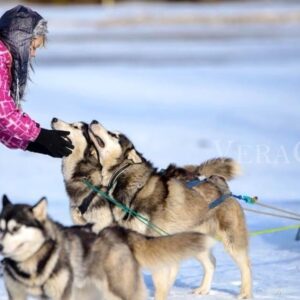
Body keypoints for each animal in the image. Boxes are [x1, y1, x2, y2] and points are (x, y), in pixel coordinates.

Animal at [85, 120, 252, 298]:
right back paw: (203, 289)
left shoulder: (154, 244)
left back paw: (245, 293)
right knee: (211, 262)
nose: (94, 121)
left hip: (231, 241)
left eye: (114, 135)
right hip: (196, 241)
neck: (134, 186)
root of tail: (221, 185)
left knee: (246, 265)